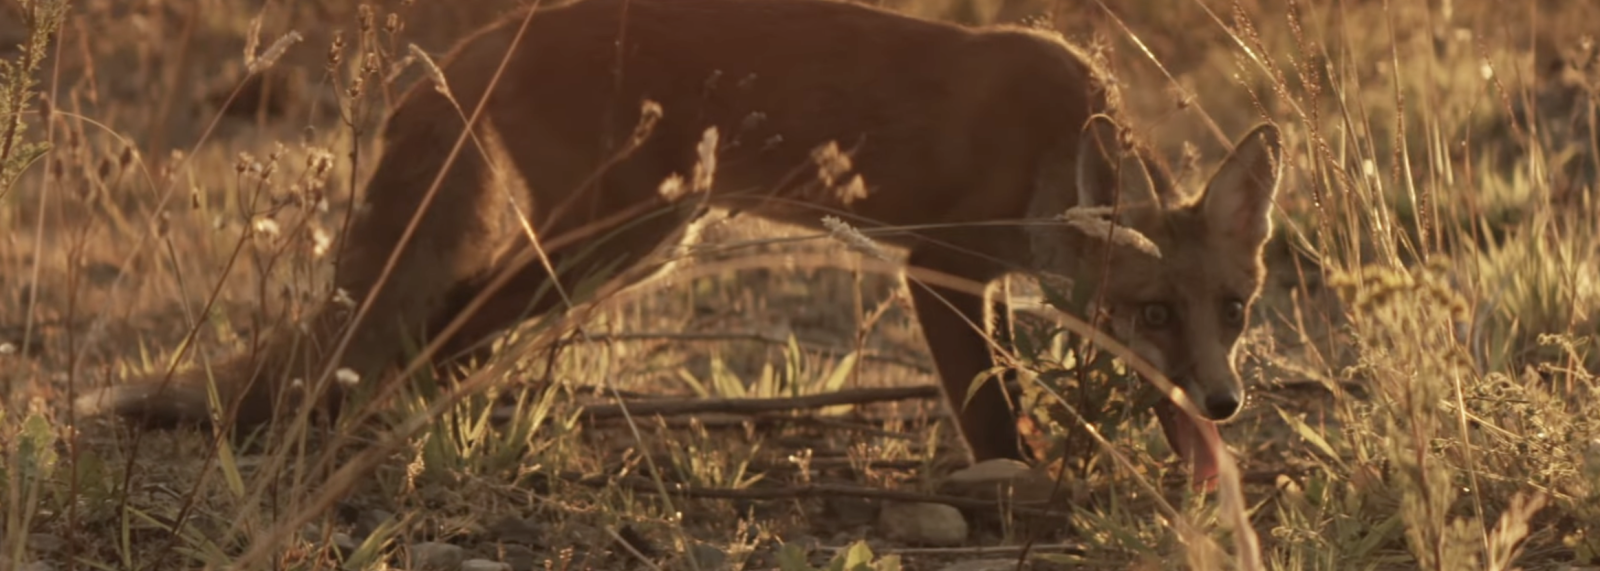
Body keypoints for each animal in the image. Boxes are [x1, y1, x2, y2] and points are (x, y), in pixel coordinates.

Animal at [74, 0, 1283, 488]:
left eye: (1232, 310)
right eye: (1152, 310)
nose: (1225, 403)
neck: (1047, 140)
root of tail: (485, 39)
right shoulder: (936, 268)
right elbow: (991, 411)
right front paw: (1019, 482)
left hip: (633, 240)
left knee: (419, 339)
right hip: (609, 240)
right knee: (416, 336)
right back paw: (384, 433)